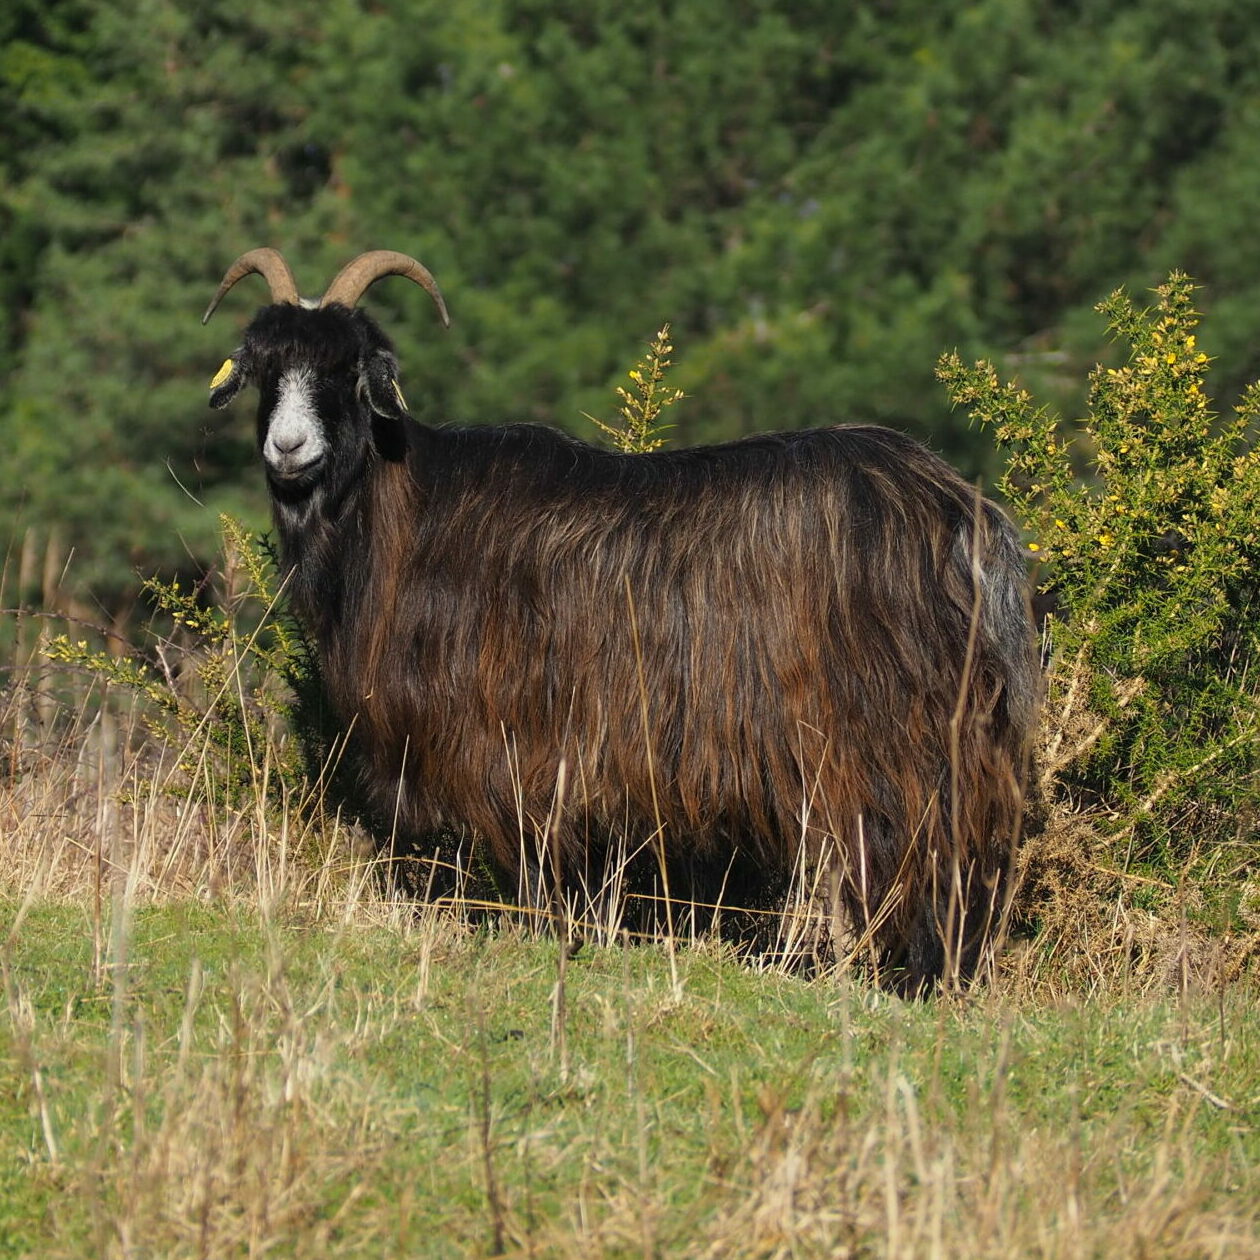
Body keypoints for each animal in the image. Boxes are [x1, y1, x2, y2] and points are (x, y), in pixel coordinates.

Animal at [204, 247, 1038, 990]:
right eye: (262, 369)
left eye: (347, 371)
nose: (289, 448)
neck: (406, 506)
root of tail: (966, 517)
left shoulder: (513, 739)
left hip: (893, 732)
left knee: (925, 842)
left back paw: (909, 975)